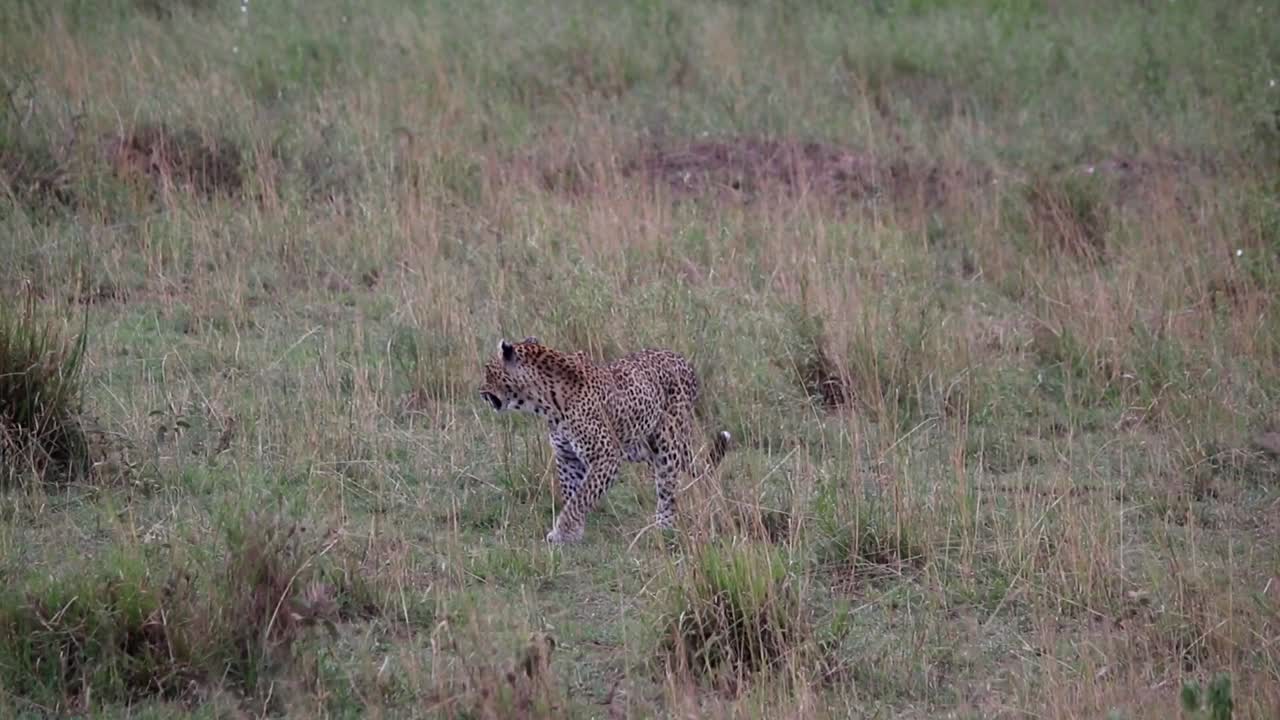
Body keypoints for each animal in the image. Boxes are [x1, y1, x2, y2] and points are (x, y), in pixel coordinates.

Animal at [478, 336, 732, 544]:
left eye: (488, 370)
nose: (480, 391)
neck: (545, 402)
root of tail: (683, 361)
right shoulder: (567, 457)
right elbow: (572, 494)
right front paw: (573, 533)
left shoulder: (605, 456)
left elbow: (581, 497)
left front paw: (563, 531)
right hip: (644, 447)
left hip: (667, 446)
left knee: (668, 489)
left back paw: (664, 528)